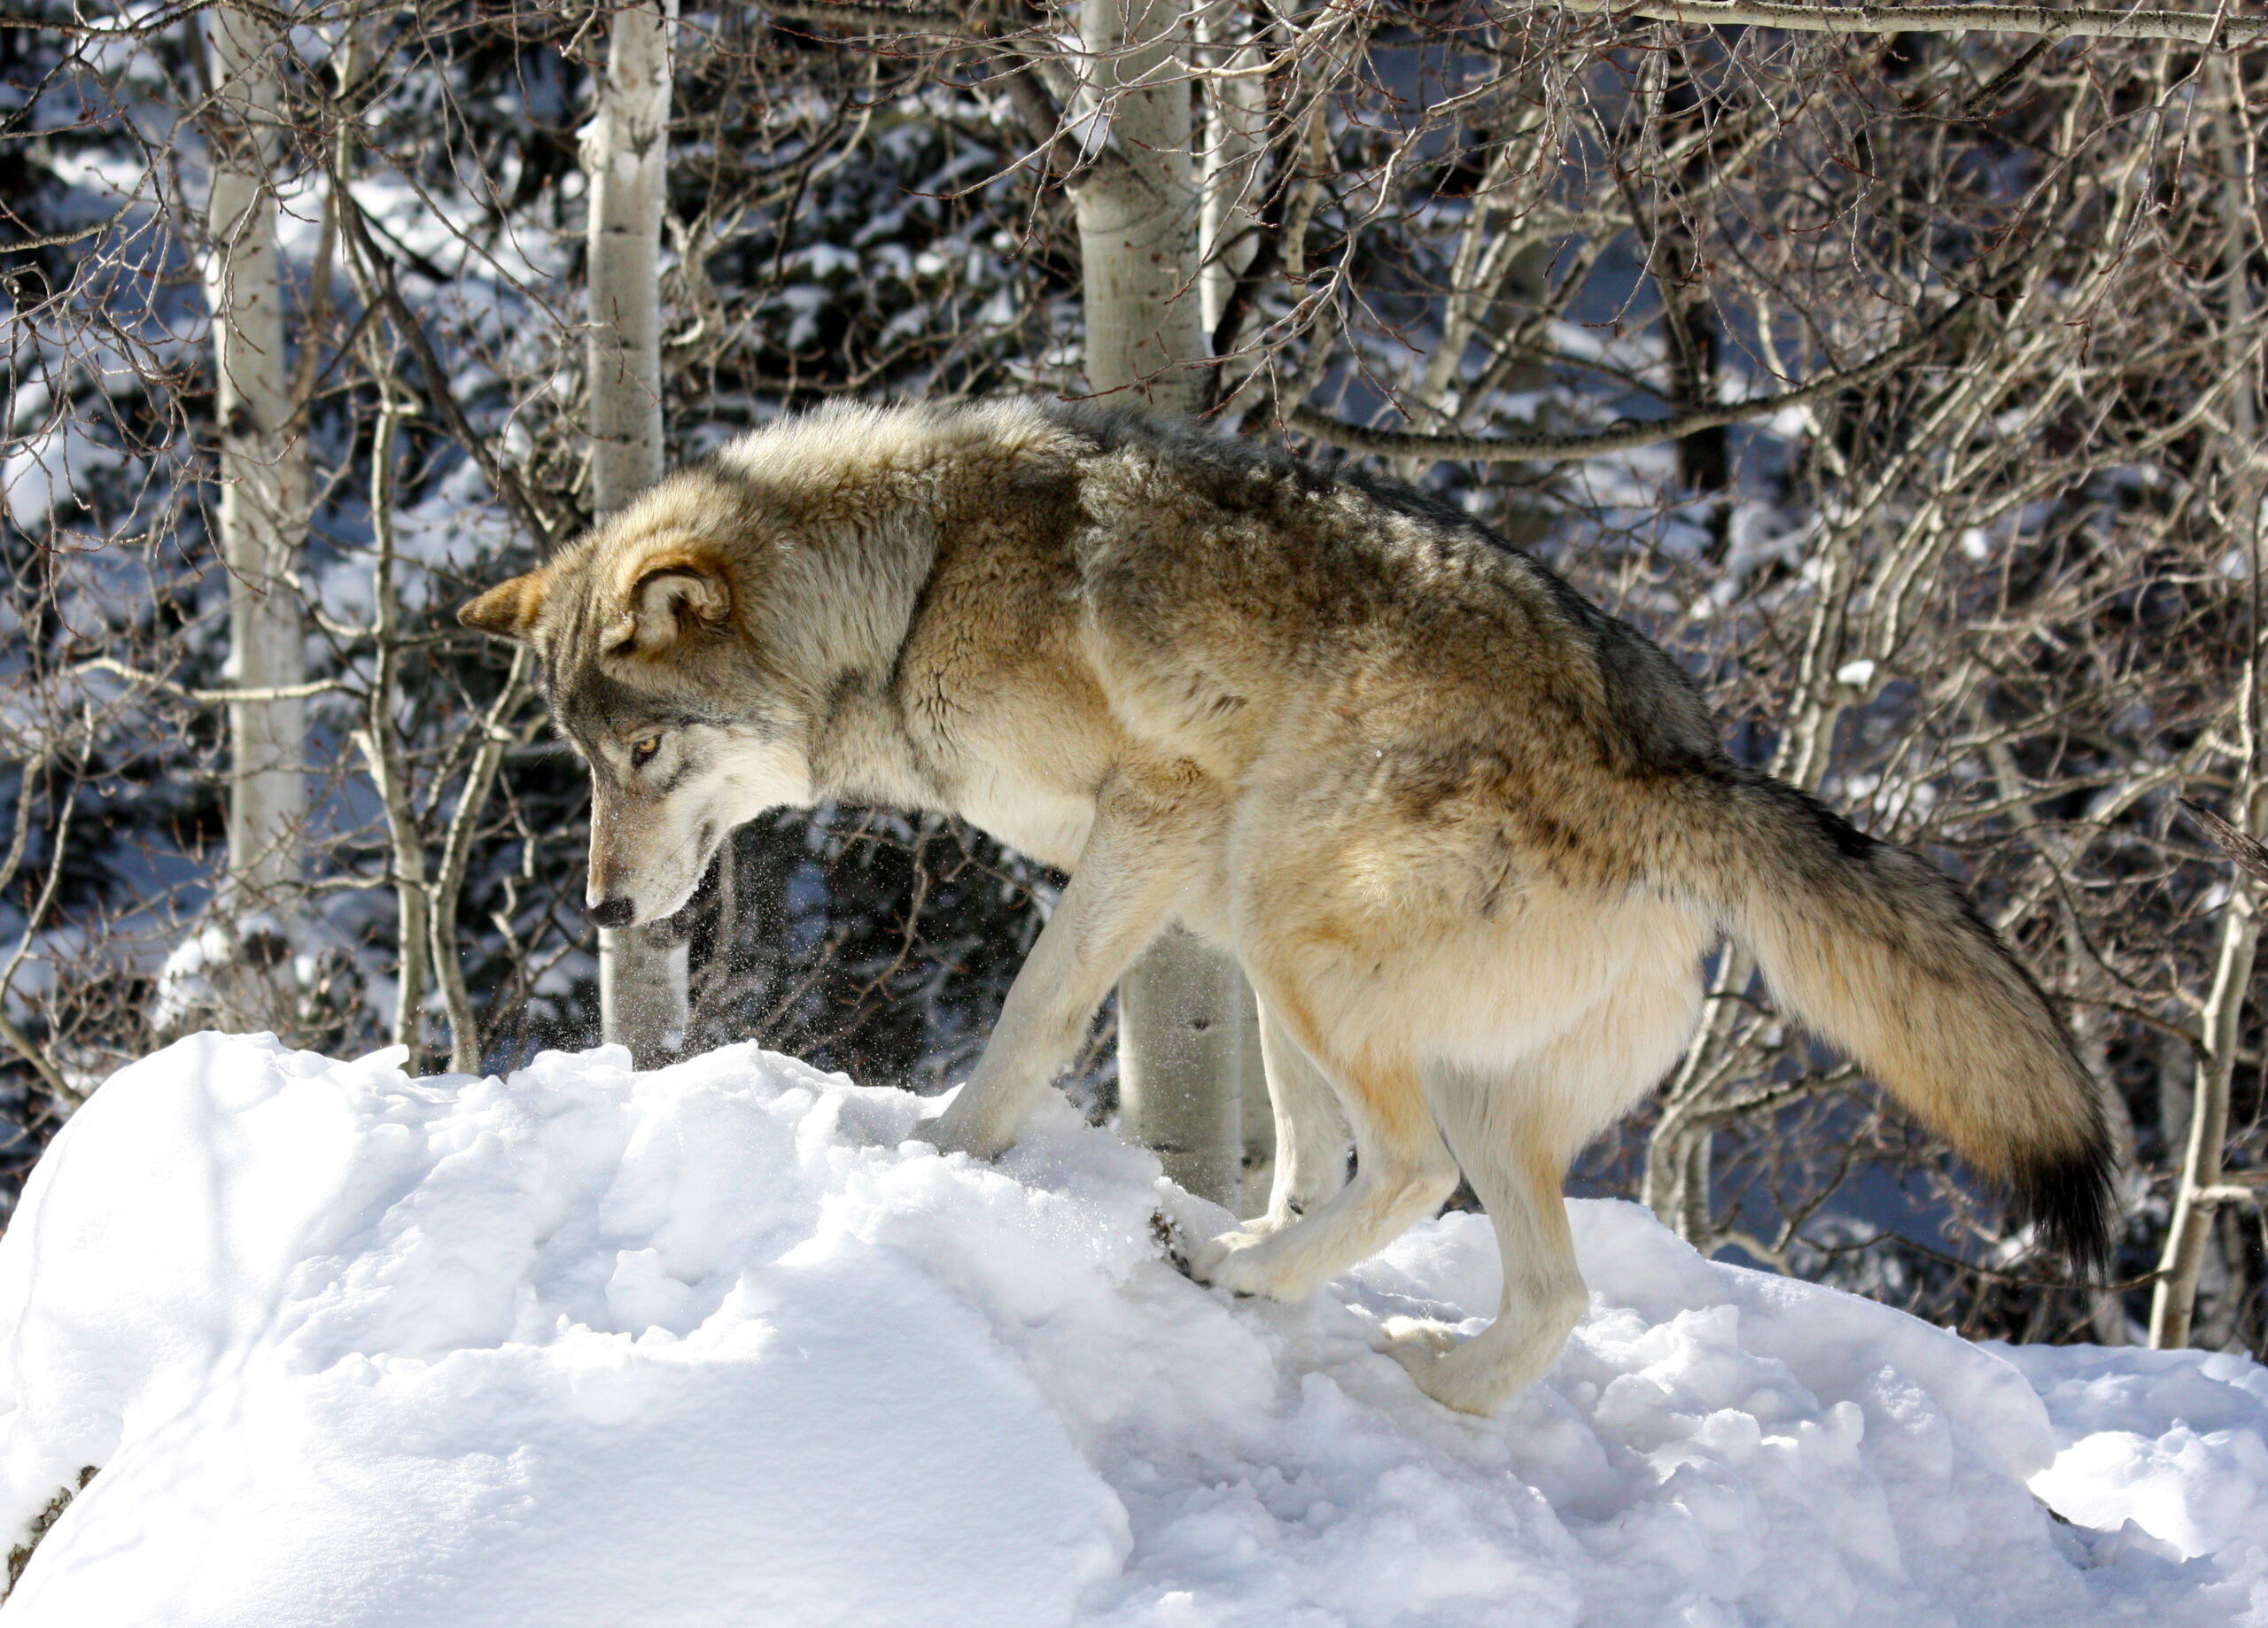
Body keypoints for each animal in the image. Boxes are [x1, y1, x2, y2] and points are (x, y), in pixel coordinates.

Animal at [464, 401, 2123, 1423]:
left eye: (642, 756)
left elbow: (1036, 1014)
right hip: (1356, 987)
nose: (603, 906)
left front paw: (941, 1152)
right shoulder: (1199, 902)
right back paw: (1418, 1371)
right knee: (1549, 1288)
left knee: (1416, 1175)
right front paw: (1241, 1225)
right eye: (576, 756)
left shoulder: (1163, 826)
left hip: (1301, 923)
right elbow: (1295, 1135)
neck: (912, 585)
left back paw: (1240, 1279)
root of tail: (1676, 768)